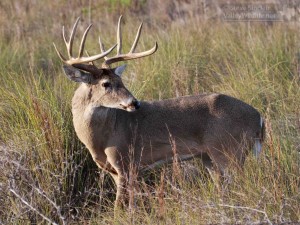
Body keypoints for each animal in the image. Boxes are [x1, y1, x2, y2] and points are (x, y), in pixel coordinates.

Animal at [52, 16, 264, 209]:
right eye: (106, 84)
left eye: (121, 80)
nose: (134, 102)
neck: (100, 139)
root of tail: (259, 119)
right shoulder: (115, 170)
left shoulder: (125, 163)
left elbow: (120, 208)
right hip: (209, 157)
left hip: (230, 151)